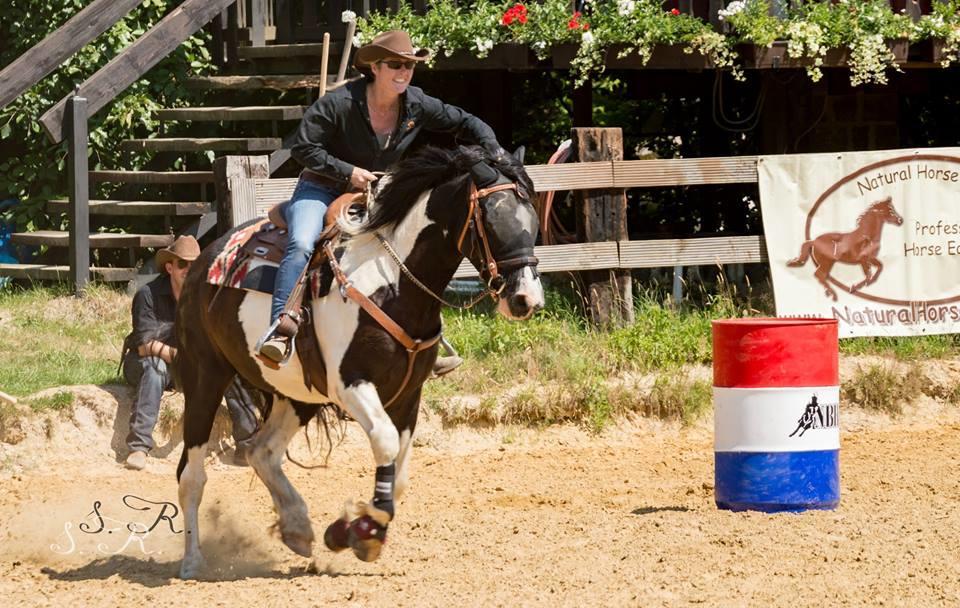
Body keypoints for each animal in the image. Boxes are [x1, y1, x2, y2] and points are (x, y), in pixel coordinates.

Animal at [173, 145, 544, 576]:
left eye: (532, 217)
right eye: (492, 218)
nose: (526, 299)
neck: (392, 282)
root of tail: (204, 262)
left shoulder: (408, 395)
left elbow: (400, 471)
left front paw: (352, 529)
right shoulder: (352, 384)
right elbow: (384, 442)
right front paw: (364, 529)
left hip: (297, 396)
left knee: (261, 452)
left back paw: (297, 527)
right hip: (204, 375)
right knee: (192, 474)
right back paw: (192, 560)